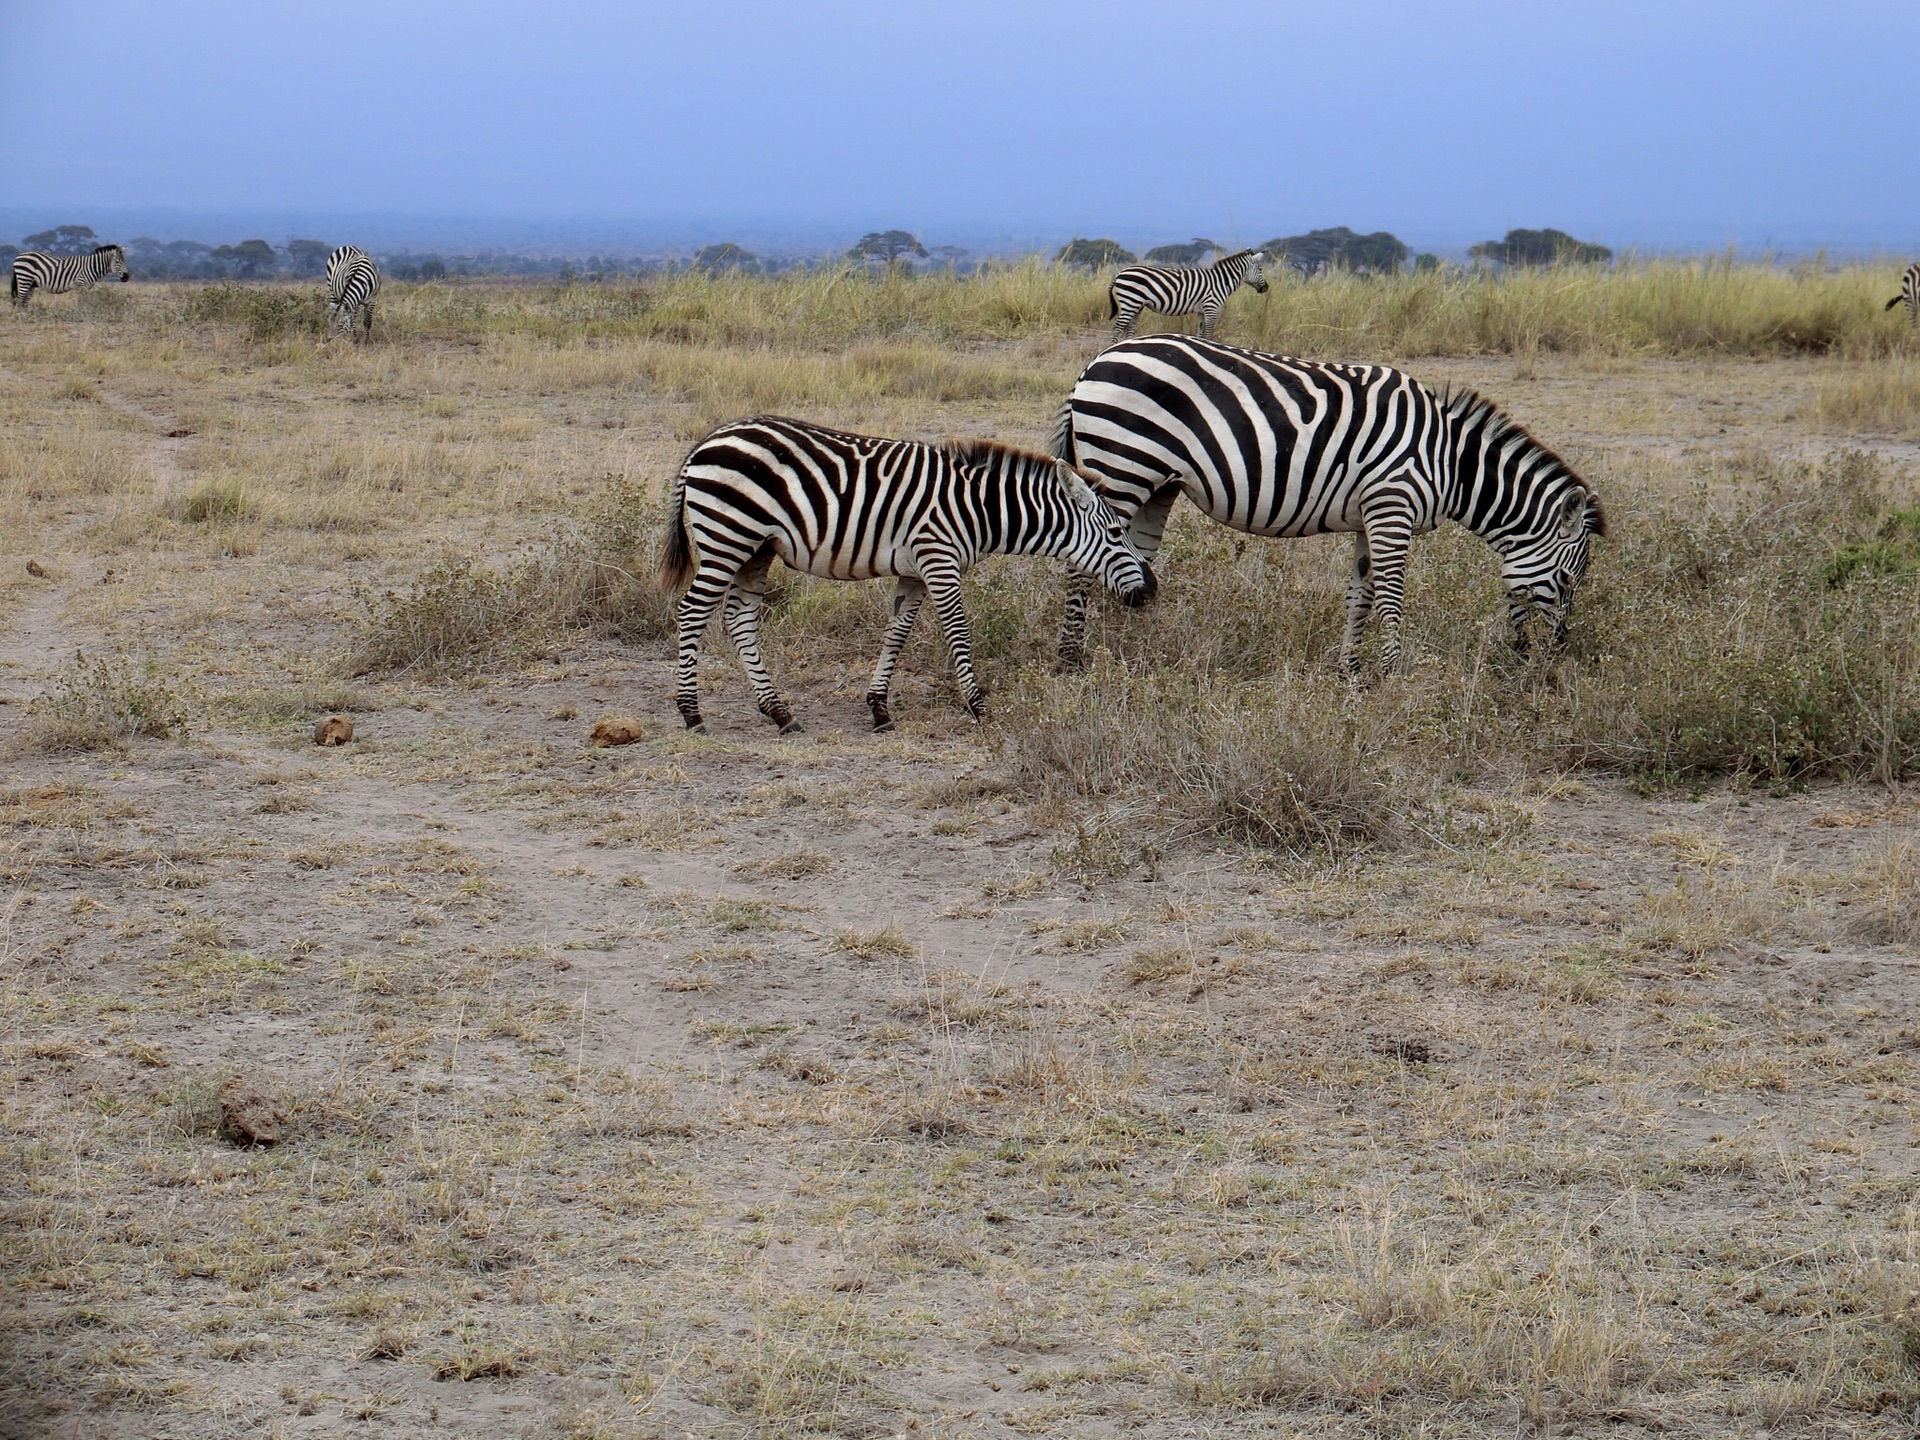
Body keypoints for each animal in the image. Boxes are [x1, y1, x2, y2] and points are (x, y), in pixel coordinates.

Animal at [652, 414, 1159, 733]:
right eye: (1117, 532)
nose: (1152, 590)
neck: (978, 509)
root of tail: (705, 443)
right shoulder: (939, 558)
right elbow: (958, 632)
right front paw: (978, 706)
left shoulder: (916, 571)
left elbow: (897, 632)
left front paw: (879, 709)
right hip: (728, 537)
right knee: (692, 612)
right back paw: (691, 714)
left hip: (756, 549)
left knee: (739, 619)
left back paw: (778, 713)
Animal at [1052, 336, 1605, 679]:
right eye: (1567, 580)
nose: (1554, 657)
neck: (1448, 461)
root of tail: (1096, 361)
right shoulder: (1392, 507)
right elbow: (1390, 596)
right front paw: (1391, 674)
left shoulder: (1371, 516)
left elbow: (1360, 593)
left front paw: (1350, 672)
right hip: (1123, 465)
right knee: (1085, 560)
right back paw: (1072, 660)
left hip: (1157, 482)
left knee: (1135, 560)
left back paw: (1131, 654)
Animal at [1105, 249, 1267, 345]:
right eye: (1260, 269)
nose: (1266, 288)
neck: (1222, 281)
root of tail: (1119, 274)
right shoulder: (1211, 308)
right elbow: (1209, 333)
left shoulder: (1202, 311)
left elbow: (1200, 333)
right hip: (1130, 301)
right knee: (1118, 327)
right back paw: (1112, 348)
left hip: (1136, 305)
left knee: (1129, 327)